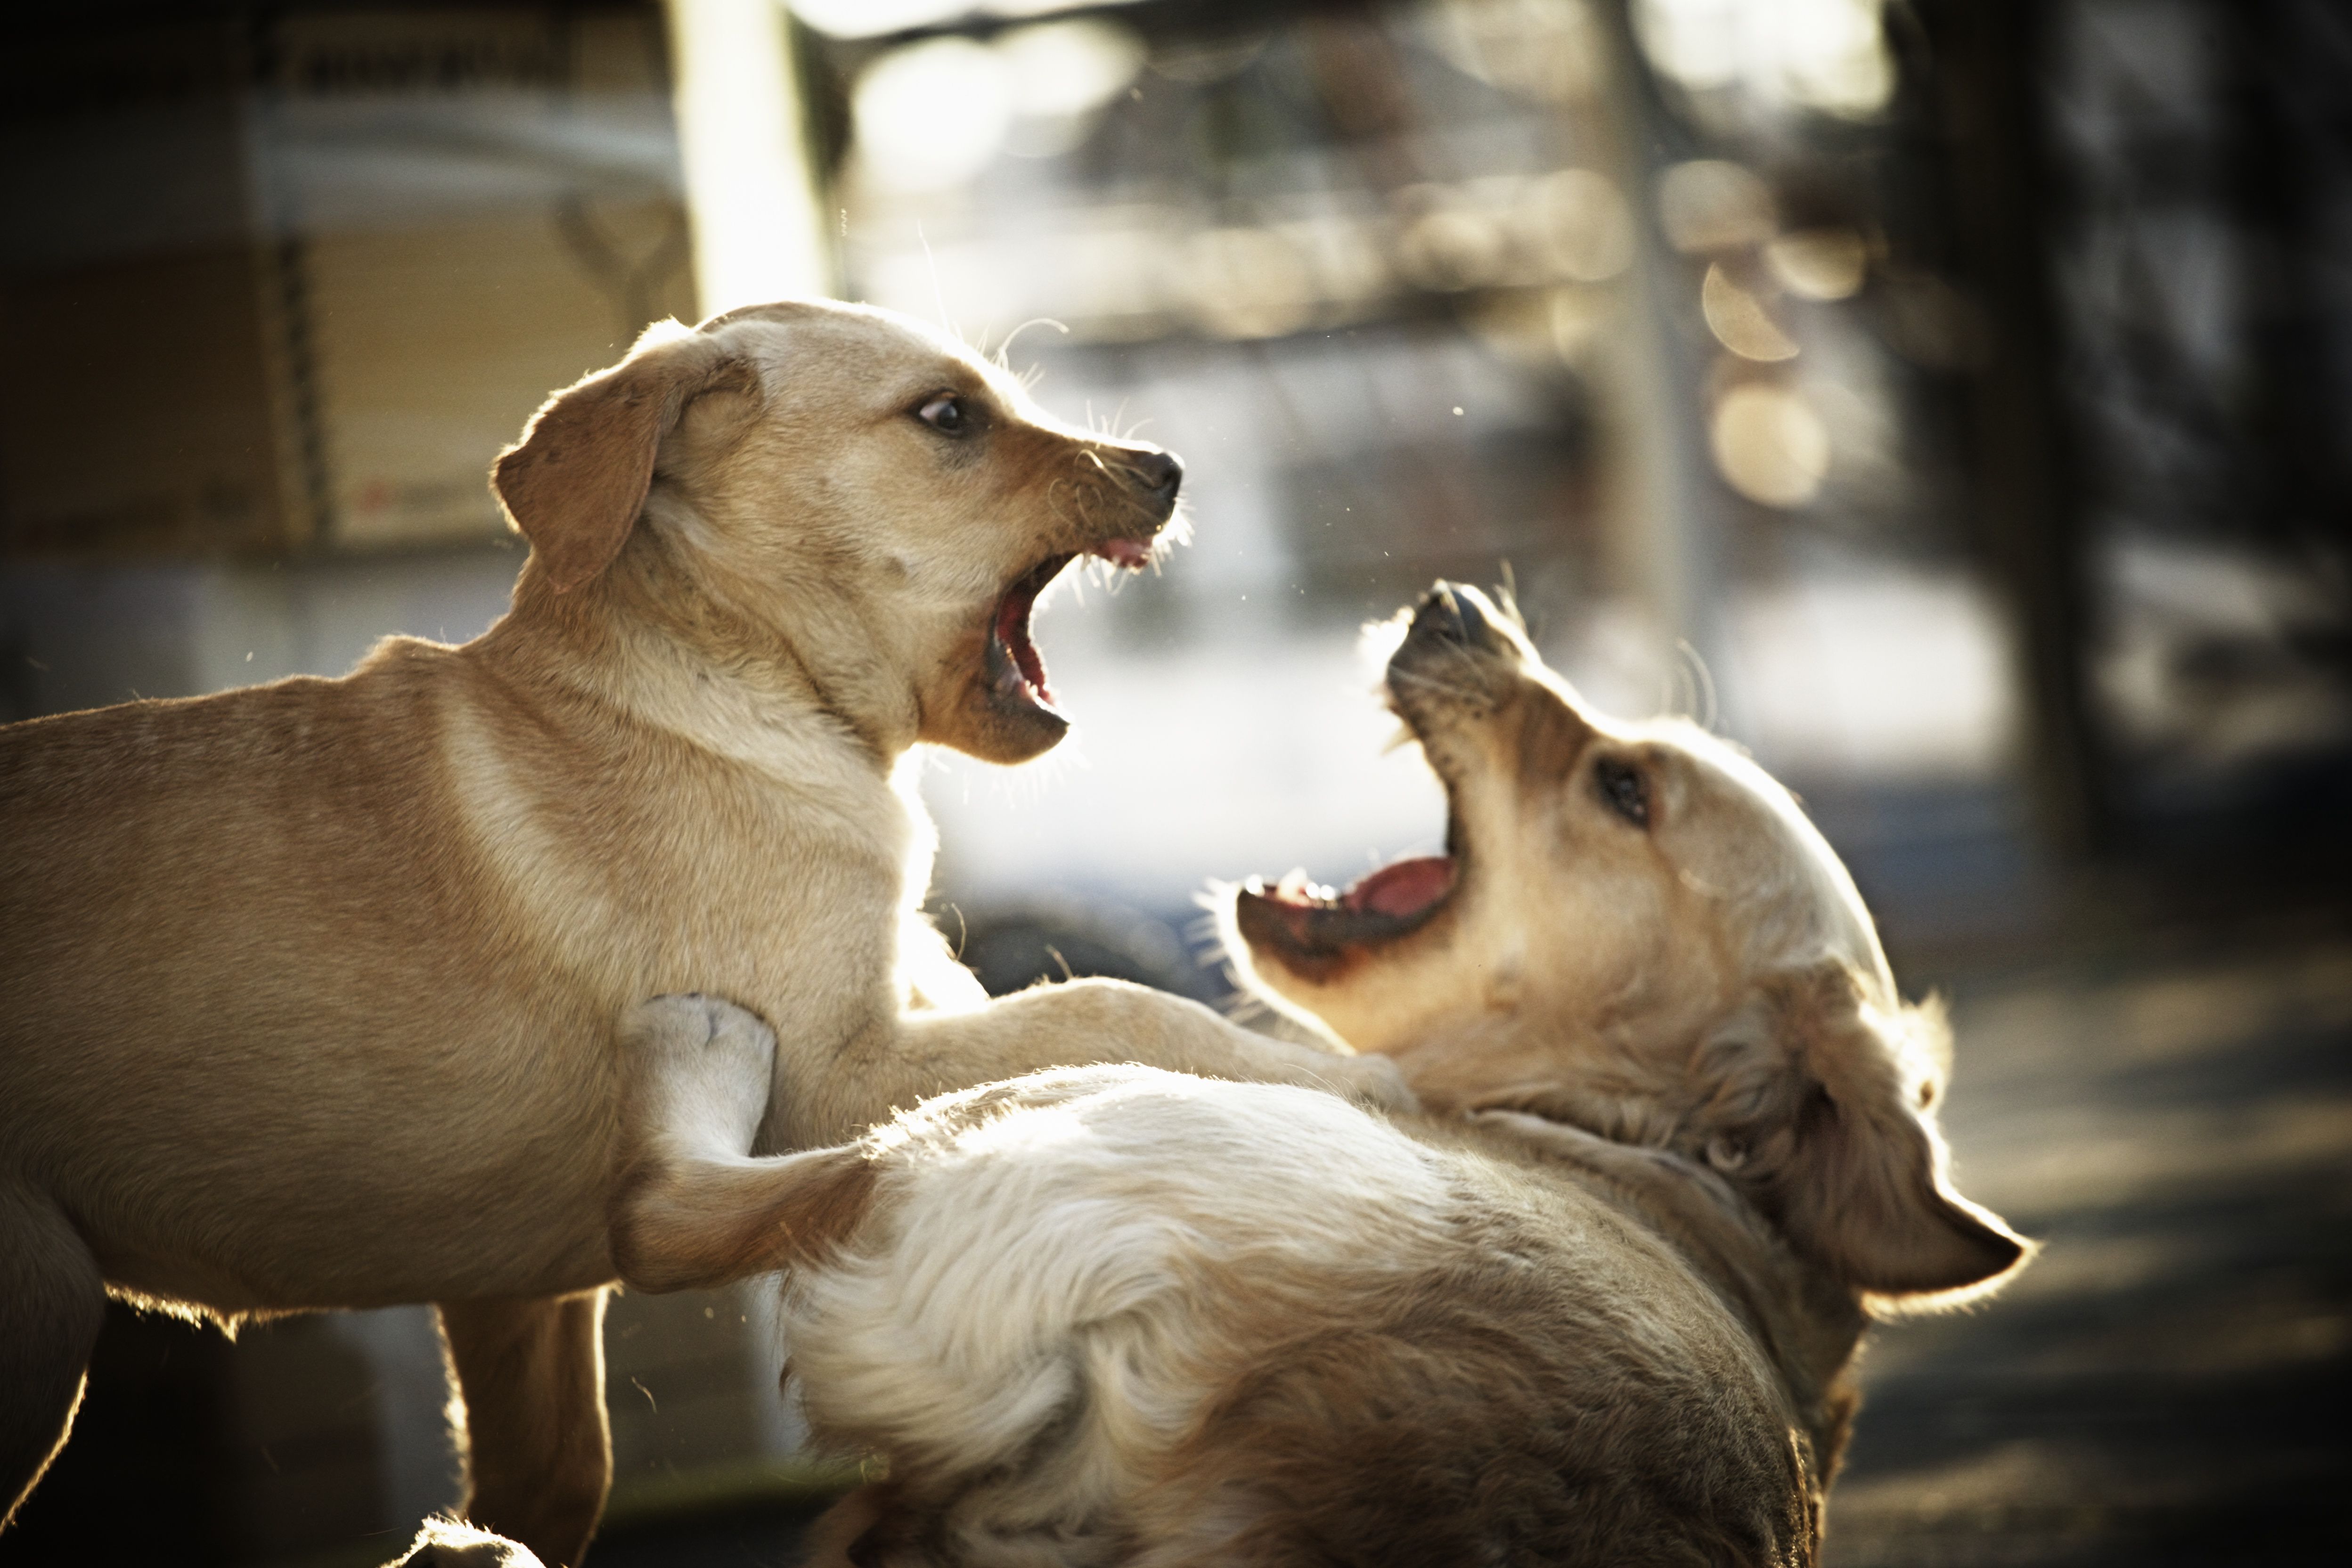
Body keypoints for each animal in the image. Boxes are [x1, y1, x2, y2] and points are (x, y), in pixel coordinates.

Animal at [0, 301, 1392, 1561]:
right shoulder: (838, 1080)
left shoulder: (522, 1300)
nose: (1166, 469)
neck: (736, 680)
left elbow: (547, 1489)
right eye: (949, 418)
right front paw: (1345, 1086)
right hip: (45, 1309)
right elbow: (1111, 1004)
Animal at [597, 583, 2032, 1568]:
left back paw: (703, 1043)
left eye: (1624, 786)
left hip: (1003, 1122)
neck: (1624, 1130)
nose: (1453, 604)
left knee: (668, 1207)